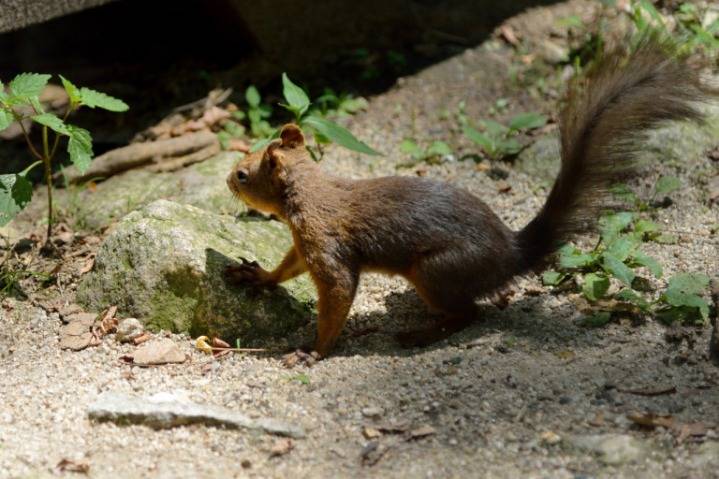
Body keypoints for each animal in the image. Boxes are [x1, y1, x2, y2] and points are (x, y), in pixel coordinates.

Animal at [224, 37, 716, 358]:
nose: (228, 180)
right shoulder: (303, 243)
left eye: (245, 173)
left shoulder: (326, 244)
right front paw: (258, 276)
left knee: (470, 314)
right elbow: (288, 267)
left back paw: (422, 335)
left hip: (435, 272)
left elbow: (337, 294)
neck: (308, 192)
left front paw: (314, 350)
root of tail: (511, 254)